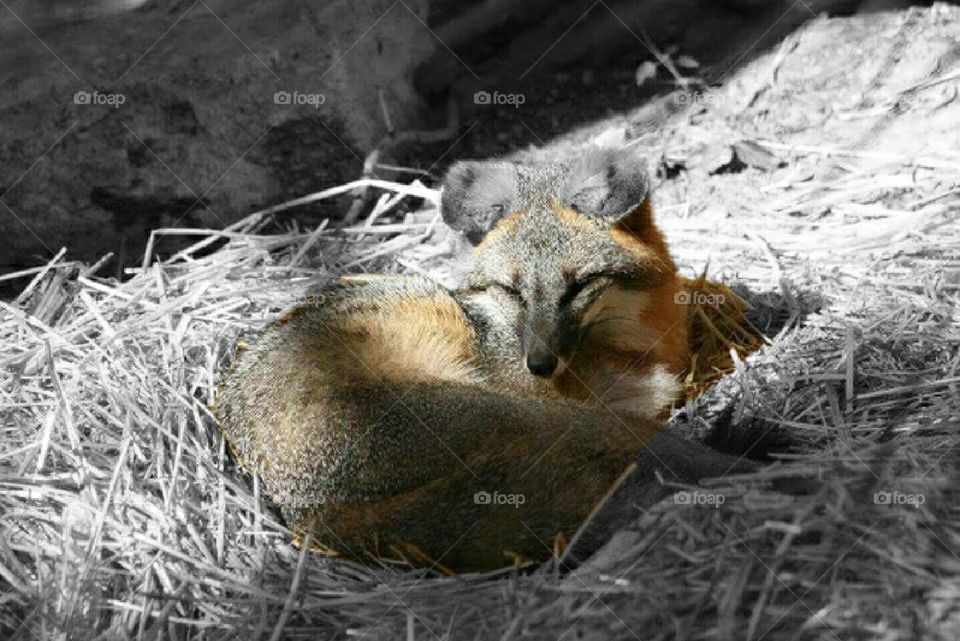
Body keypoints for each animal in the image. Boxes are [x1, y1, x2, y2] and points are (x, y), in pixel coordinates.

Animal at [214, 147, 753, 573]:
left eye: (579, 286)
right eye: (511, 291)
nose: (539, 363)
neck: (636, 342)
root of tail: (304, 513)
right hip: (524, 417)